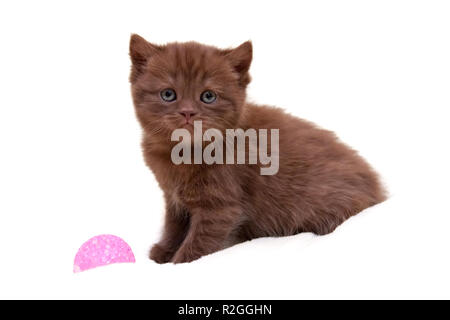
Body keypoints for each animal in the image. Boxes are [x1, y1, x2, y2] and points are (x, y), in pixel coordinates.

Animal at [128, 33, 384, 264]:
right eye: (168, 94)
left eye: (208, 96)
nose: (188, 112)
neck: (183, 154)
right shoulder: (173, 197)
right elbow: (173, 225)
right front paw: (164, 251)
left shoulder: (221, 209)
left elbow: (200, 241)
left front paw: (179, 261)